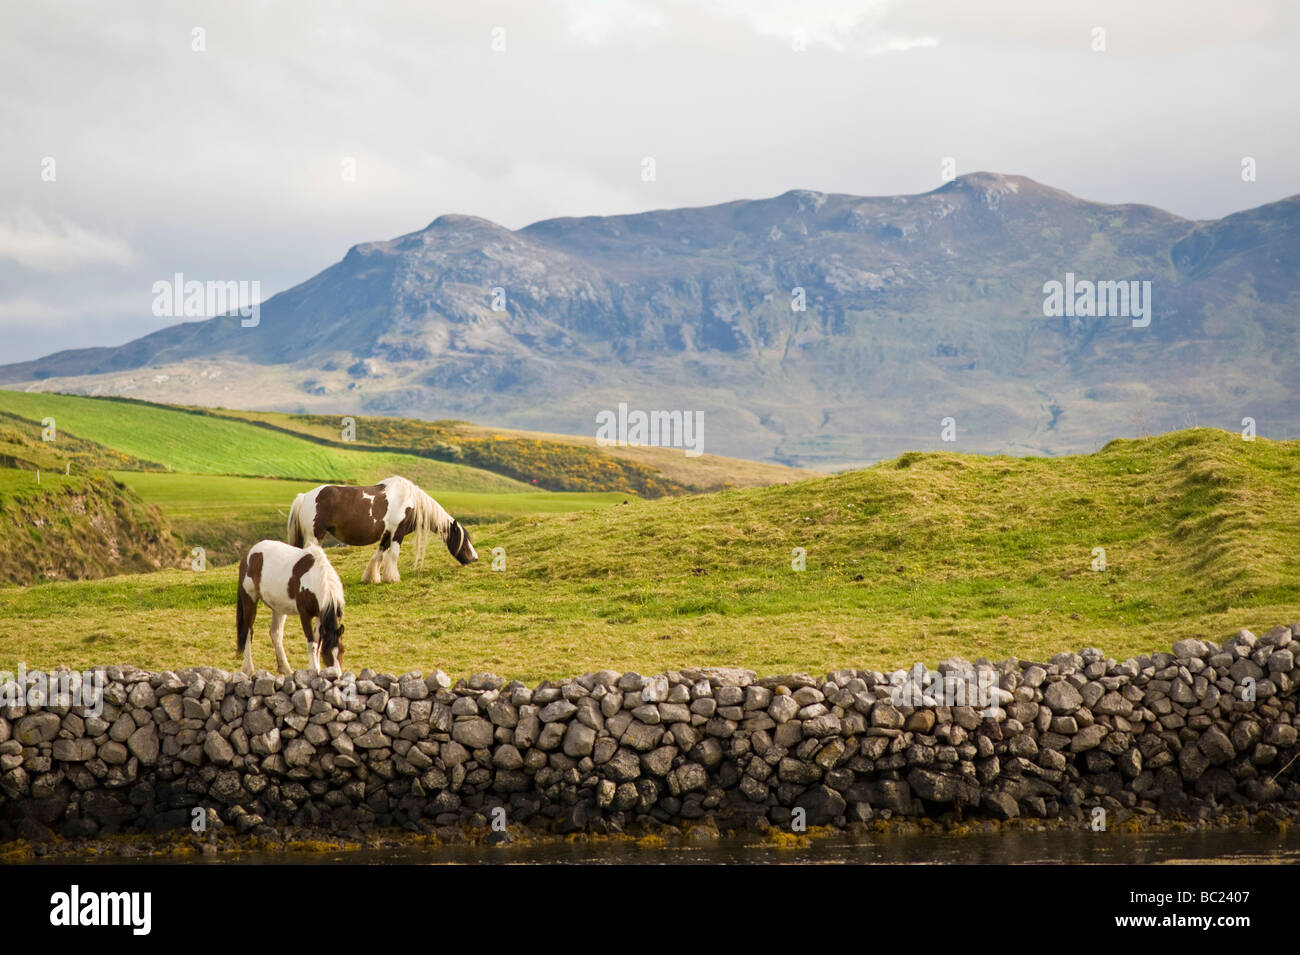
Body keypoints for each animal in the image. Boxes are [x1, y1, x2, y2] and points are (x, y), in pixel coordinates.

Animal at [235, 540, 345, 675]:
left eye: (342, 650)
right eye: (327, 652)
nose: (338, 675)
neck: (316, 578)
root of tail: (249, 554)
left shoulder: (320, 614)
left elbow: (317, 641)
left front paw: (317, 669)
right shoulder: (305, 614)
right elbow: (312, 643)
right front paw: (314, 670)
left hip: (278, 607)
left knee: (275, 633)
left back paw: (285, 668)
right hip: (249, 600)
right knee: (248, 631)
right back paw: (248, 668)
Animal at [284, 472, 478, 582]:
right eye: (464, 541)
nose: (474, 559)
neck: (410, 501)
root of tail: (304, 496)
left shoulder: (387, 534)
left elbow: (379, 555)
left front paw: (372, 578)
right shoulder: (398, 533)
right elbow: (393, 555)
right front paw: (392, 578)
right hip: (314, 536)